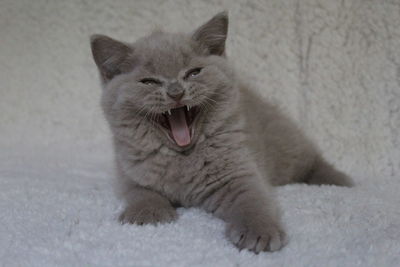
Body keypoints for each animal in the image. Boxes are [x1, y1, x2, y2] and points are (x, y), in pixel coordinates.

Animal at [90, 11, 354, 254]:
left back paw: (339, 180)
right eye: (149, 82)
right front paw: (147, 214)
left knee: (311, 160)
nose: (176, 92)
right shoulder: (130, 173)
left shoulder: (237, 173)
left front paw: (259, 232)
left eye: (193, 72)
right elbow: (140, 192)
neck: (182, 158)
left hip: (286, 147)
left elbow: (252, 200)